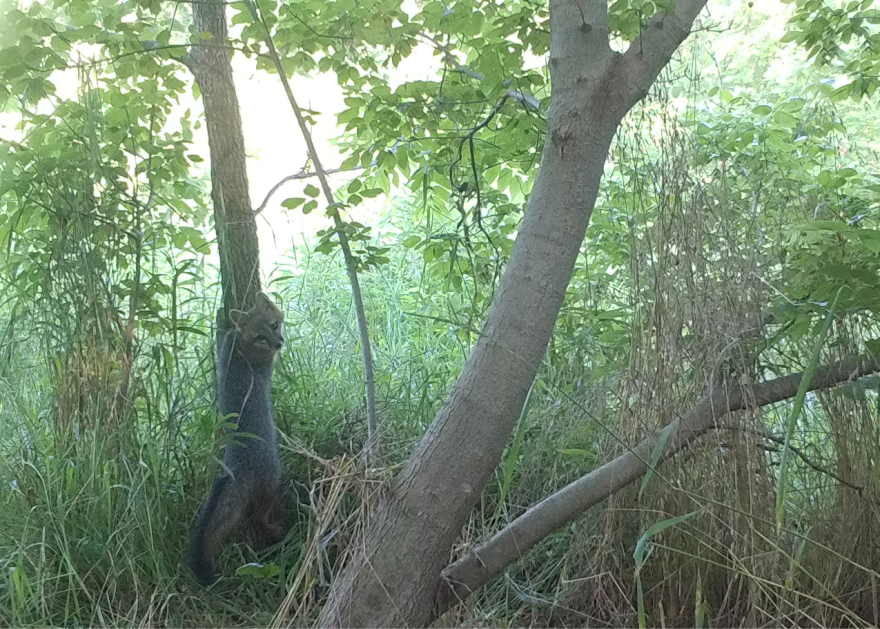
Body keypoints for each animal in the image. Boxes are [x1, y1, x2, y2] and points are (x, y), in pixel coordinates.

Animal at [190, 292, 288, 588]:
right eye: (261, 336)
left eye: (274, 325)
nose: (279, 343)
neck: (238, 346)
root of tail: (235, 467)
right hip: (273, 481)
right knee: (257, 517)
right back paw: (275, 531)